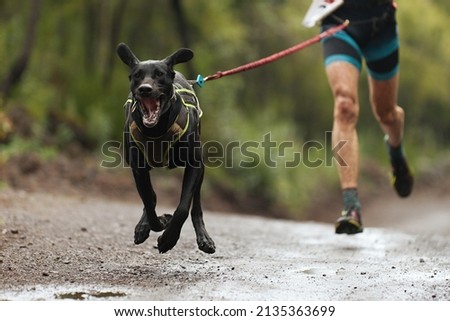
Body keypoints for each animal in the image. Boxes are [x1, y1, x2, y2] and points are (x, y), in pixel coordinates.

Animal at [116, 42, 214, 252]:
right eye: (136, 75)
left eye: (160, 74)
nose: (145, 89)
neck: (157, 128)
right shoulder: (138, 167)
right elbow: (149, 201)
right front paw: (158, 222)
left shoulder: (194, 164)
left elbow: (183, 208)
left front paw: (169, 238)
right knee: (151, 197)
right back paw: (143, 226)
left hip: (201, 168)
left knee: (196, 205)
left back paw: (204, 238)